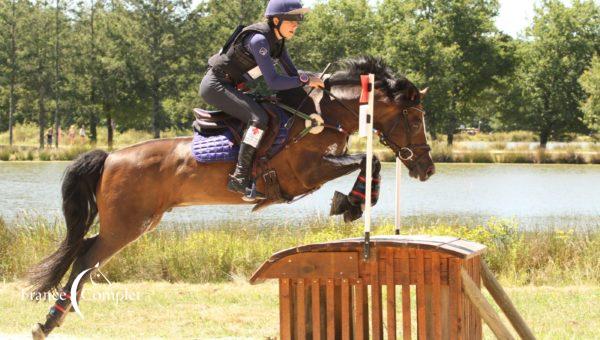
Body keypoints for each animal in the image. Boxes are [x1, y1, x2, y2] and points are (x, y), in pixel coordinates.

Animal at [28, 55, 434, 338]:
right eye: (415, 120)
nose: (427, 169)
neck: (324, 115)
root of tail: (111, 156)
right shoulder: (306, 173)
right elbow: (371, 160)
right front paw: (350, 203)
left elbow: (371, 160)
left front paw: (354, 202)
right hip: (126, 225)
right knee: (85, 257)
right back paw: (49, 322)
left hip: (138, 222)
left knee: (85, 251)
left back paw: (61, 313)